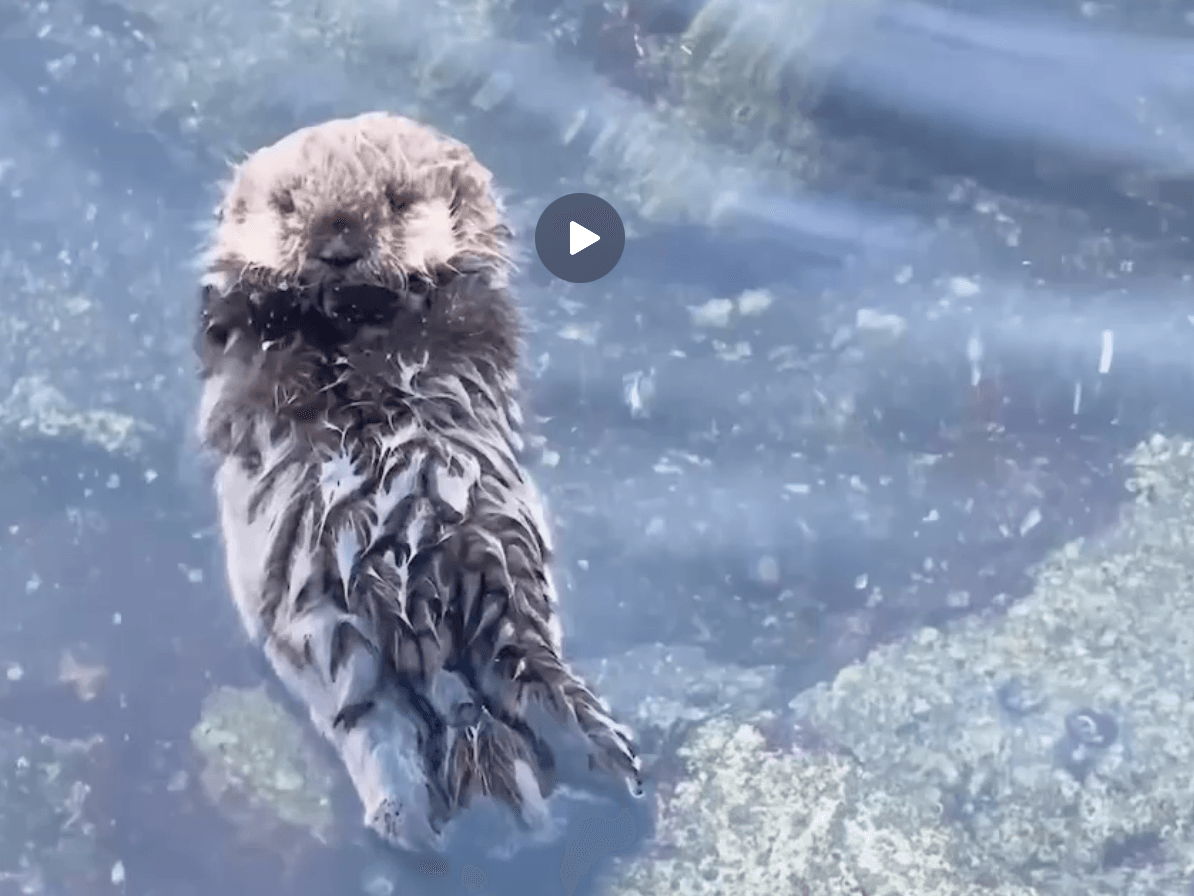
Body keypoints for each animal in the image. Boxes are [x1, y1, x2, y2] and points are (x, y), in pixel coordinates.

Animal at [193, 112, 642, 852]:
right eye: (287, 204)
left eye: (399, 201)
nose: (338, 245)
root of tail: (421, 615)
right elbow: (252, 327)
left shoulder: (473, 308)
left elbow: (454, 307)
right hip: (328, 623)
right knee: (380, 714)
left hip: (491, 571)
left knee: (507, 668)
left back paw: (603, 766)